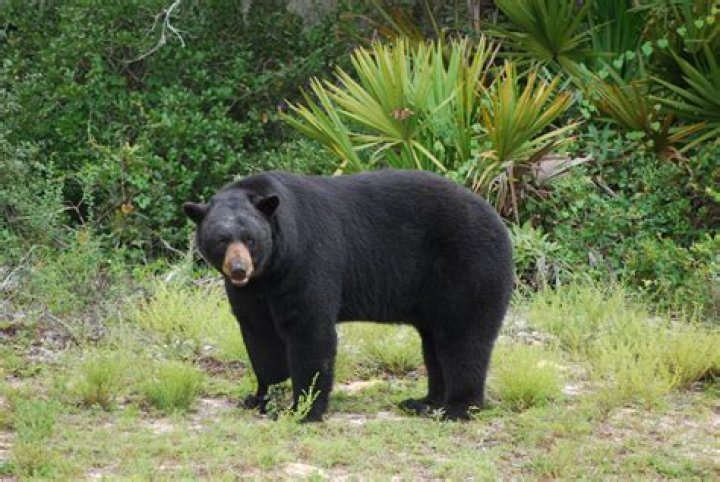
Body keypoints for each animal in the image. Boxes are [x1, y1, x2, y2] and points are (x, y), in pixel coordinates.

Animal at [183, 169, 513, 422]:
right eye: (222, 239)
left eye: (251, 239)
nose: (239, 269)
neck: (270, 269)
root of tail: (498, 220)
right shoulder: (253, 291)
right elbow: (260, 336)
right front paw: (259, 398)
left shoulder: (305, 261)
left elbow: (310, 332)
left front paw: (304, 410)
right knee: (434, 341)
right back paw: (425, 402)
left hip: (467, 266)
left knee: (462, 337)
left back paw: (456, 409)